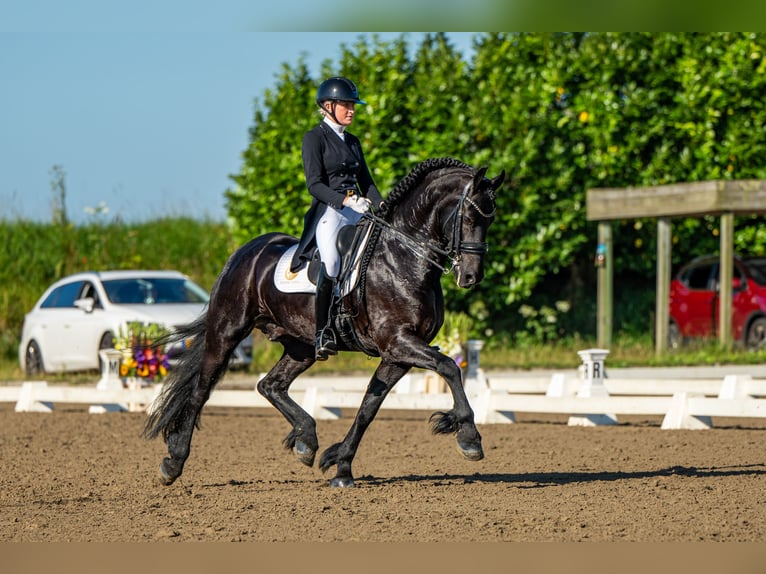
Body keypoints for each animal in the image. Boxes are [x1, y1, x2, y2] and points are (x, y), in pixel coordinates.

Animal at [146, 159, 504, 490]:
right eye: (469, 218)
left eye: (490, 220)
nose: (470, 277)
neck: (403, 257)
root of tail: (244, 252)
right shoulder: (399, 341)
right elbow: (449, 368)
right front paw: (468, 437)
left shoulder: (397, 354)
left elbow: (368, 407)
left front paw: (341, 465)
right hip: (226, 332)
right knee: (201, 390)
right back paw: (173, 462)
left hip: (301, 346)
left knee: (270, 385)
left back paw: (306, 440)